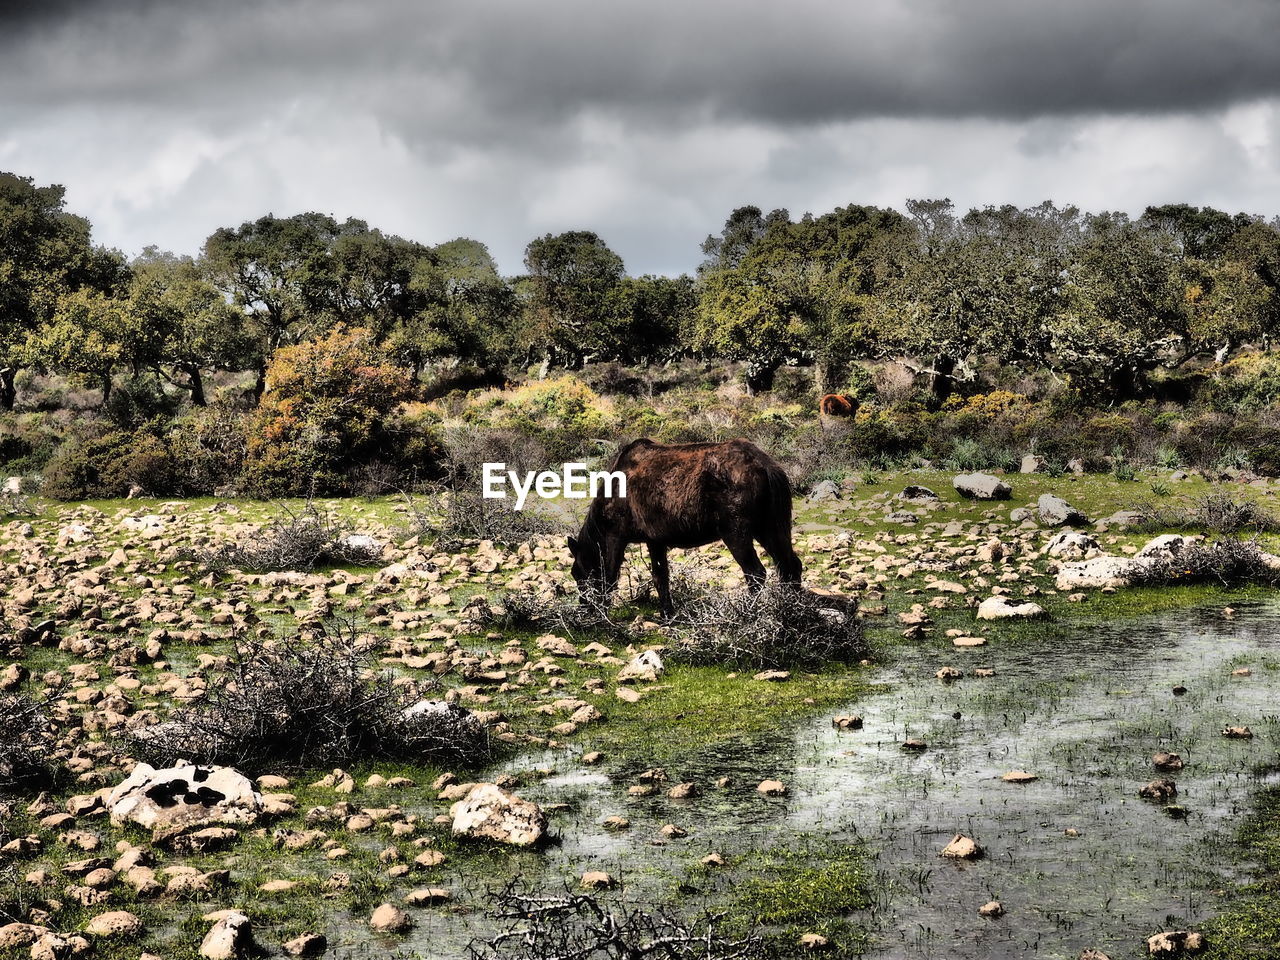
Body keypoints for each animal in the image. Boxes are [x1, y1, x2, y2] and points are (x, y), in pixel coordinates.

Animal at [568, 442, 798, 619]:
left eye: (576, 573)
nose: (585, 608)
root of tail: (766, 465)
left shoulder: (615, 537)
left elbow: (609, 577)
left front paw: (603, 614)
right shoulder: (654, 540)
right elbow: (660, 577)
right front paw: (667, 614)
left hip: (736, 534)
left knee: (756, 573)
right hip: (769, 529)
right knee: (790, 566)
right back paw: (792, 612)